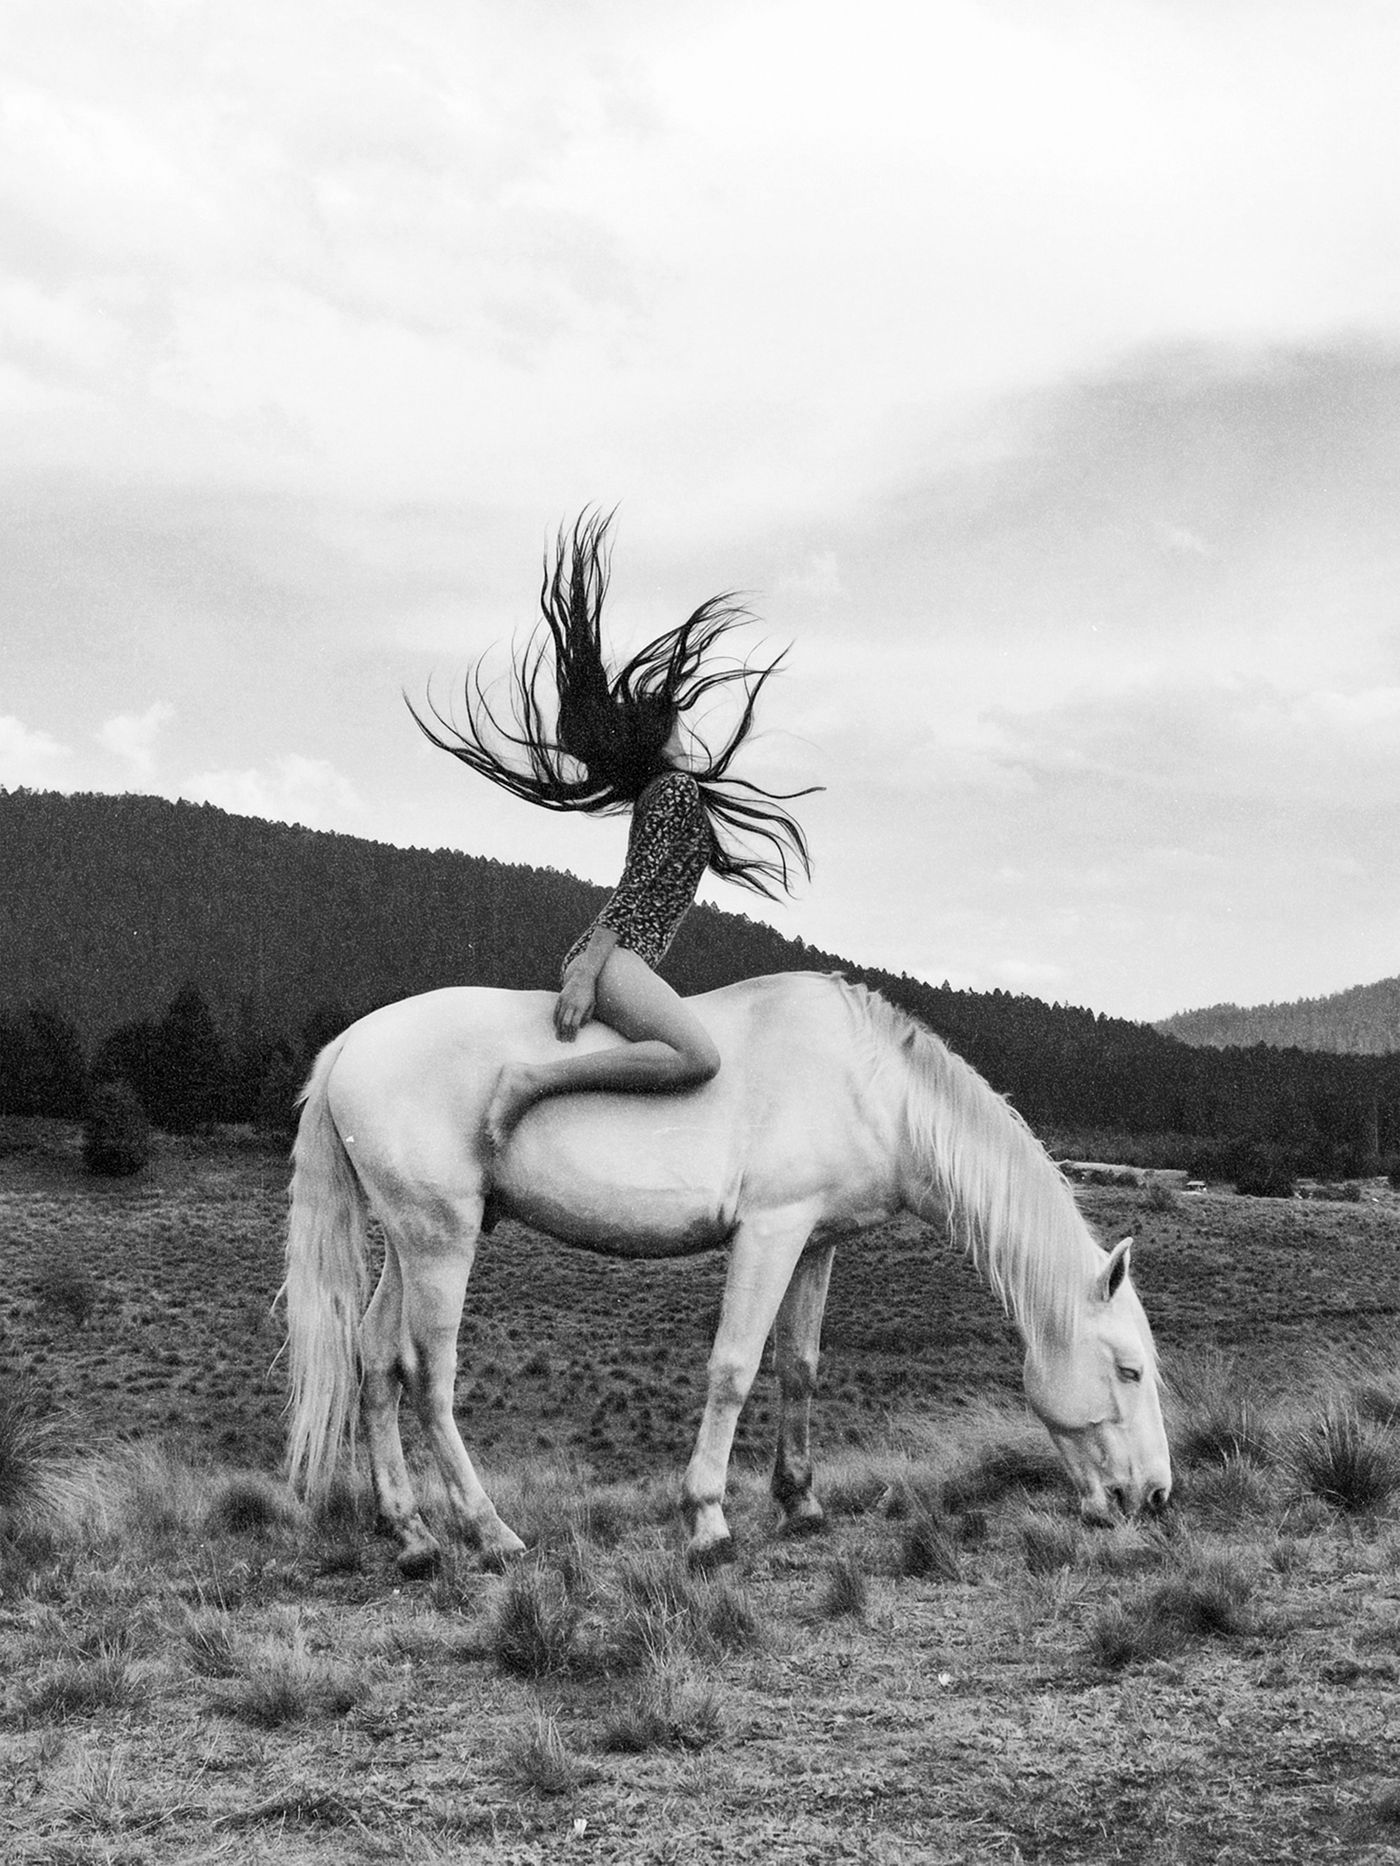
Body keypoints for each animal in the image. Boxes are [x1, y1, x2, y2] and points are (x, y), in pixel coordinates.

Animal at [282, 971, 1171, 1574]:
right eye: (1128, 1370)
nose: (1155, 1496)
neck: (872, 1085)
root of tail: (353, 1043)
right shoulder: (769, 1232)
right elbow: (734, 1370)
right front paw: (708, 1521)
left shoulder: (814, 1241)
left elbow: (799, 1367)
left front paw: (801, 1501)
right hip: (441, 1241)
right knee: (429, 1376)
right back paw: (488, 1531)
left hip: (409, 1242)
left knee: (376, 1362)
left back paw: (412, 1535)